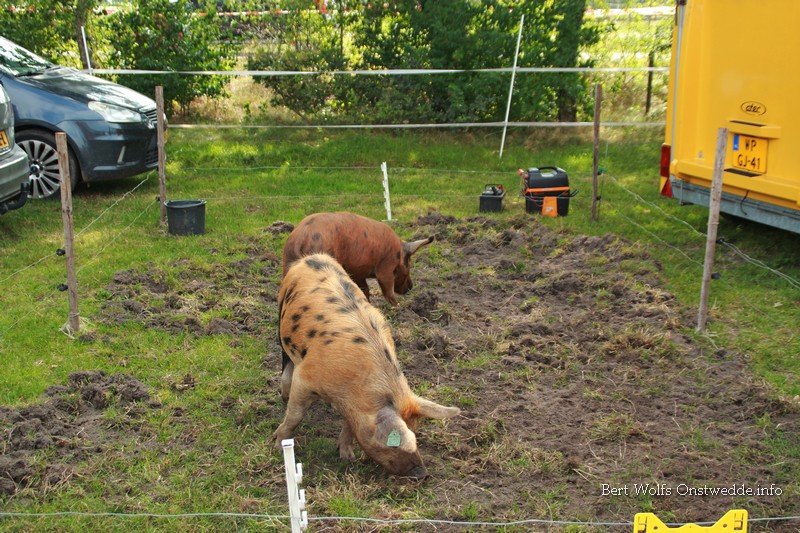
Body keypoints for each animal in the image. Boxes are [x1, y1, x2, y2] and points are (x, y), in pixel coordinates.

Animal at [274, 253, 459, 478]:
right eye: (394, 443)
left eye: (415, 431)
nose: (423, 474)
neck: (349, 393)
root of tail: (314, 257)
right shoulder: (306, 378)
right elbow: (295, 414)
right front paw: (276, 443)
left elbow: (349, 427)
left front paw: (347, 457)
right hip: (281, 319)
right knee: (286, 361)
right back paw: (284, 395)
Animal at [281, 212, 432, 306]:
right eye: (409, 264)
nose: (411, 287)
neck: (398, 252)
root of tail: (299, 240)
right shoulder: (385, 267)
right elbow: (387, 290)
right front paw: (399, 306)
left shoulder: (358, 271)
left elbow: (365, 289)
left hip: (286, 266)